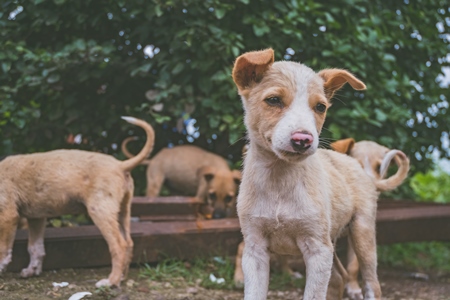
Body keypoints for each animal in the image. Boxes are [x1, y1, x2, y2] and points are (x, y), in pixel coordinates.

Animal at [0, 116, 155, 288]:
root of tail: (120, 165)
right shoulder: (36, 218)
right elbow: (35, 248)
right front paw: (32, 270)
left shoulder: (8, 216)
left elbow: (3, 248)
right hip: (122, 212)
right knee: (129, 243)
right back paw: (121, 278)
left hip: (100, 211)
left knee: (118, 245)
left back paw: (111, 281)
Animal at [232, 48, 384, 298]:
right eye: (273, 100)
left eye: (320, 107)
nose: (303, 140)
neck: (279, 180)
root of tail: (354, 162)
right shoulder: (255, 249)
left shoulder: (318, 249)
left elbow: (313, 294)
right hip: (332, 241)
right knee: (339, 278)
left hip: (362, 233)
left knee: (372, 284)